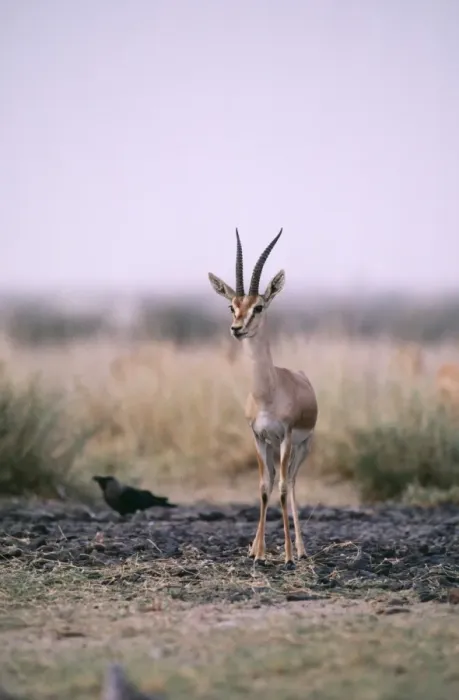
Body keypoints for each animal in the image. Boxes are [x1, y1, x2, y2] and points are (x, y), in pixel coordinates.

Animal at [208, 229, 318, 569]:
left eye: (258, 307)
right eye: (232, 306)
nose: (236, 329)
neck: (268, 393)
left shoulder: (285, 437)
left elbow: (280, 488)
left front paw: (287, 555)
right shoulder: (258, 437)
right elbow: (263, 488)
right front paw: (256, 552)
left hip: (302, 447)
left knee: (291, 483)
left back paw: (300, 550)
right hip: (272, 448)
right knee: (274, 481)